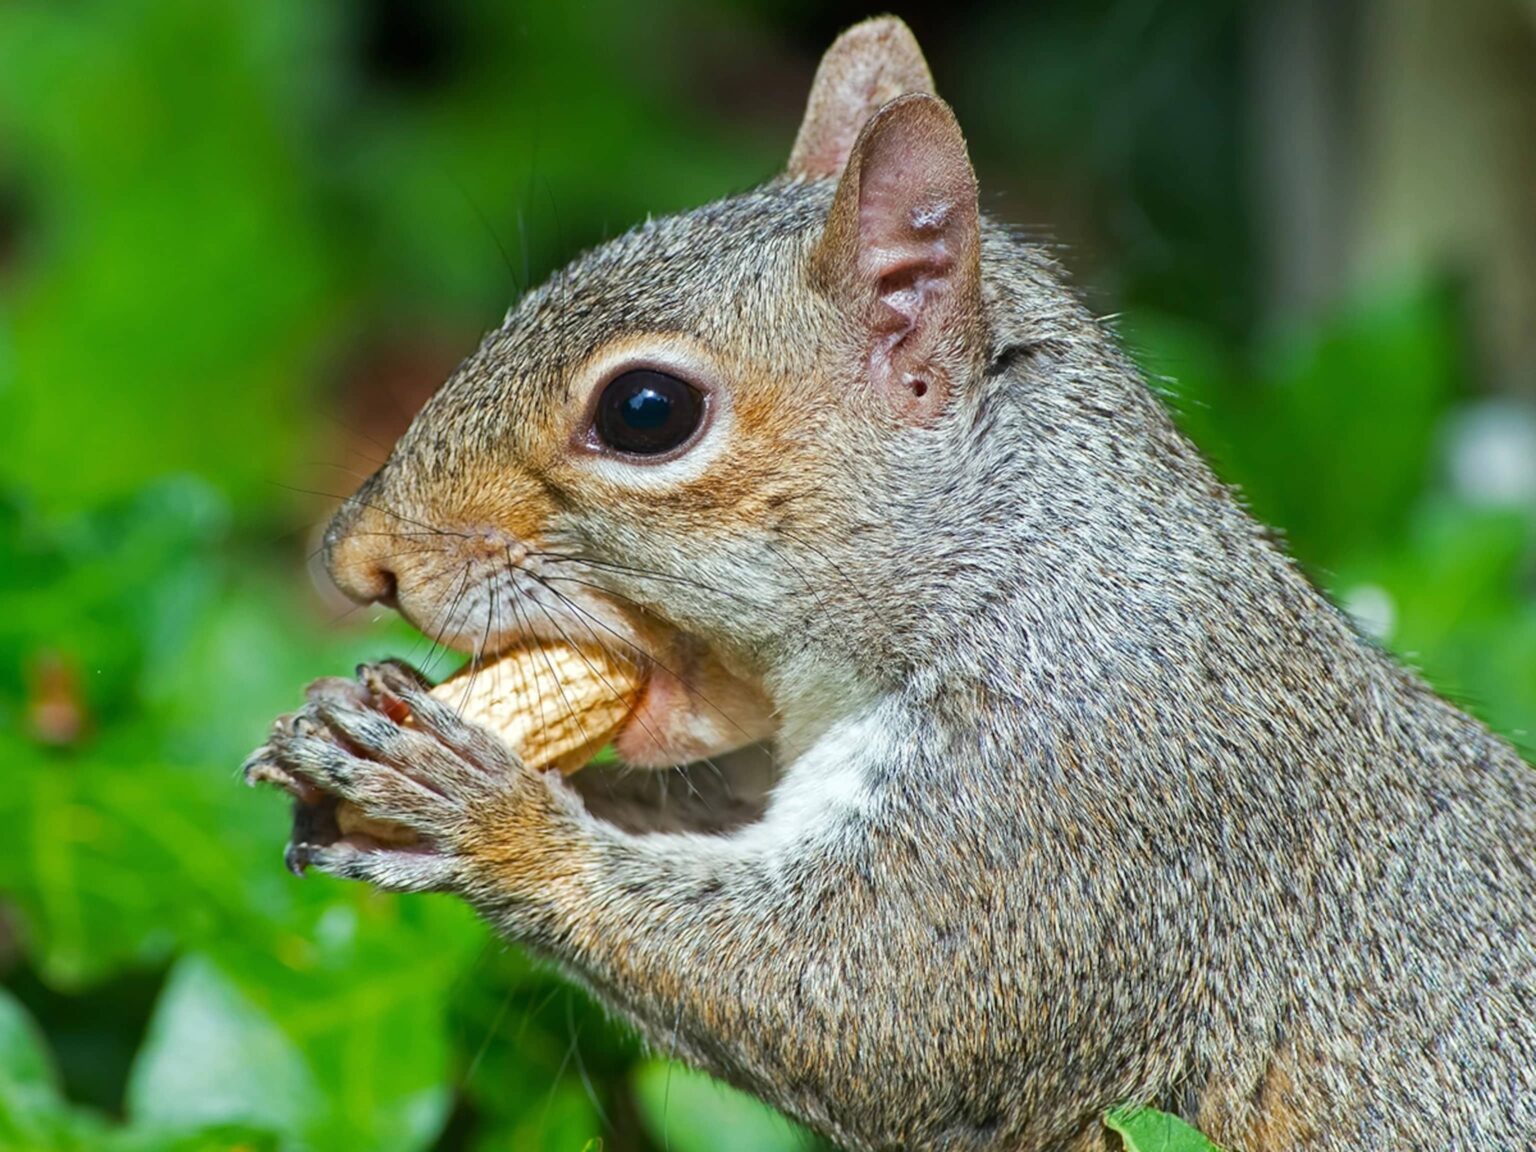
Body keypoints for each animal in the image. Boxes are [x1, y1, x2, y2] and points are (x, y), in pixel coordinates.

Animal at [239, 18, 1536, 1152]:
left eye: (646, 411)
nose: (355, 559)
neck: (1016, 569)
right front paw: (348, 728)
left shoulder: (1070, 813)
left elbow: (868, 1006)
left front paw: (471, 807)